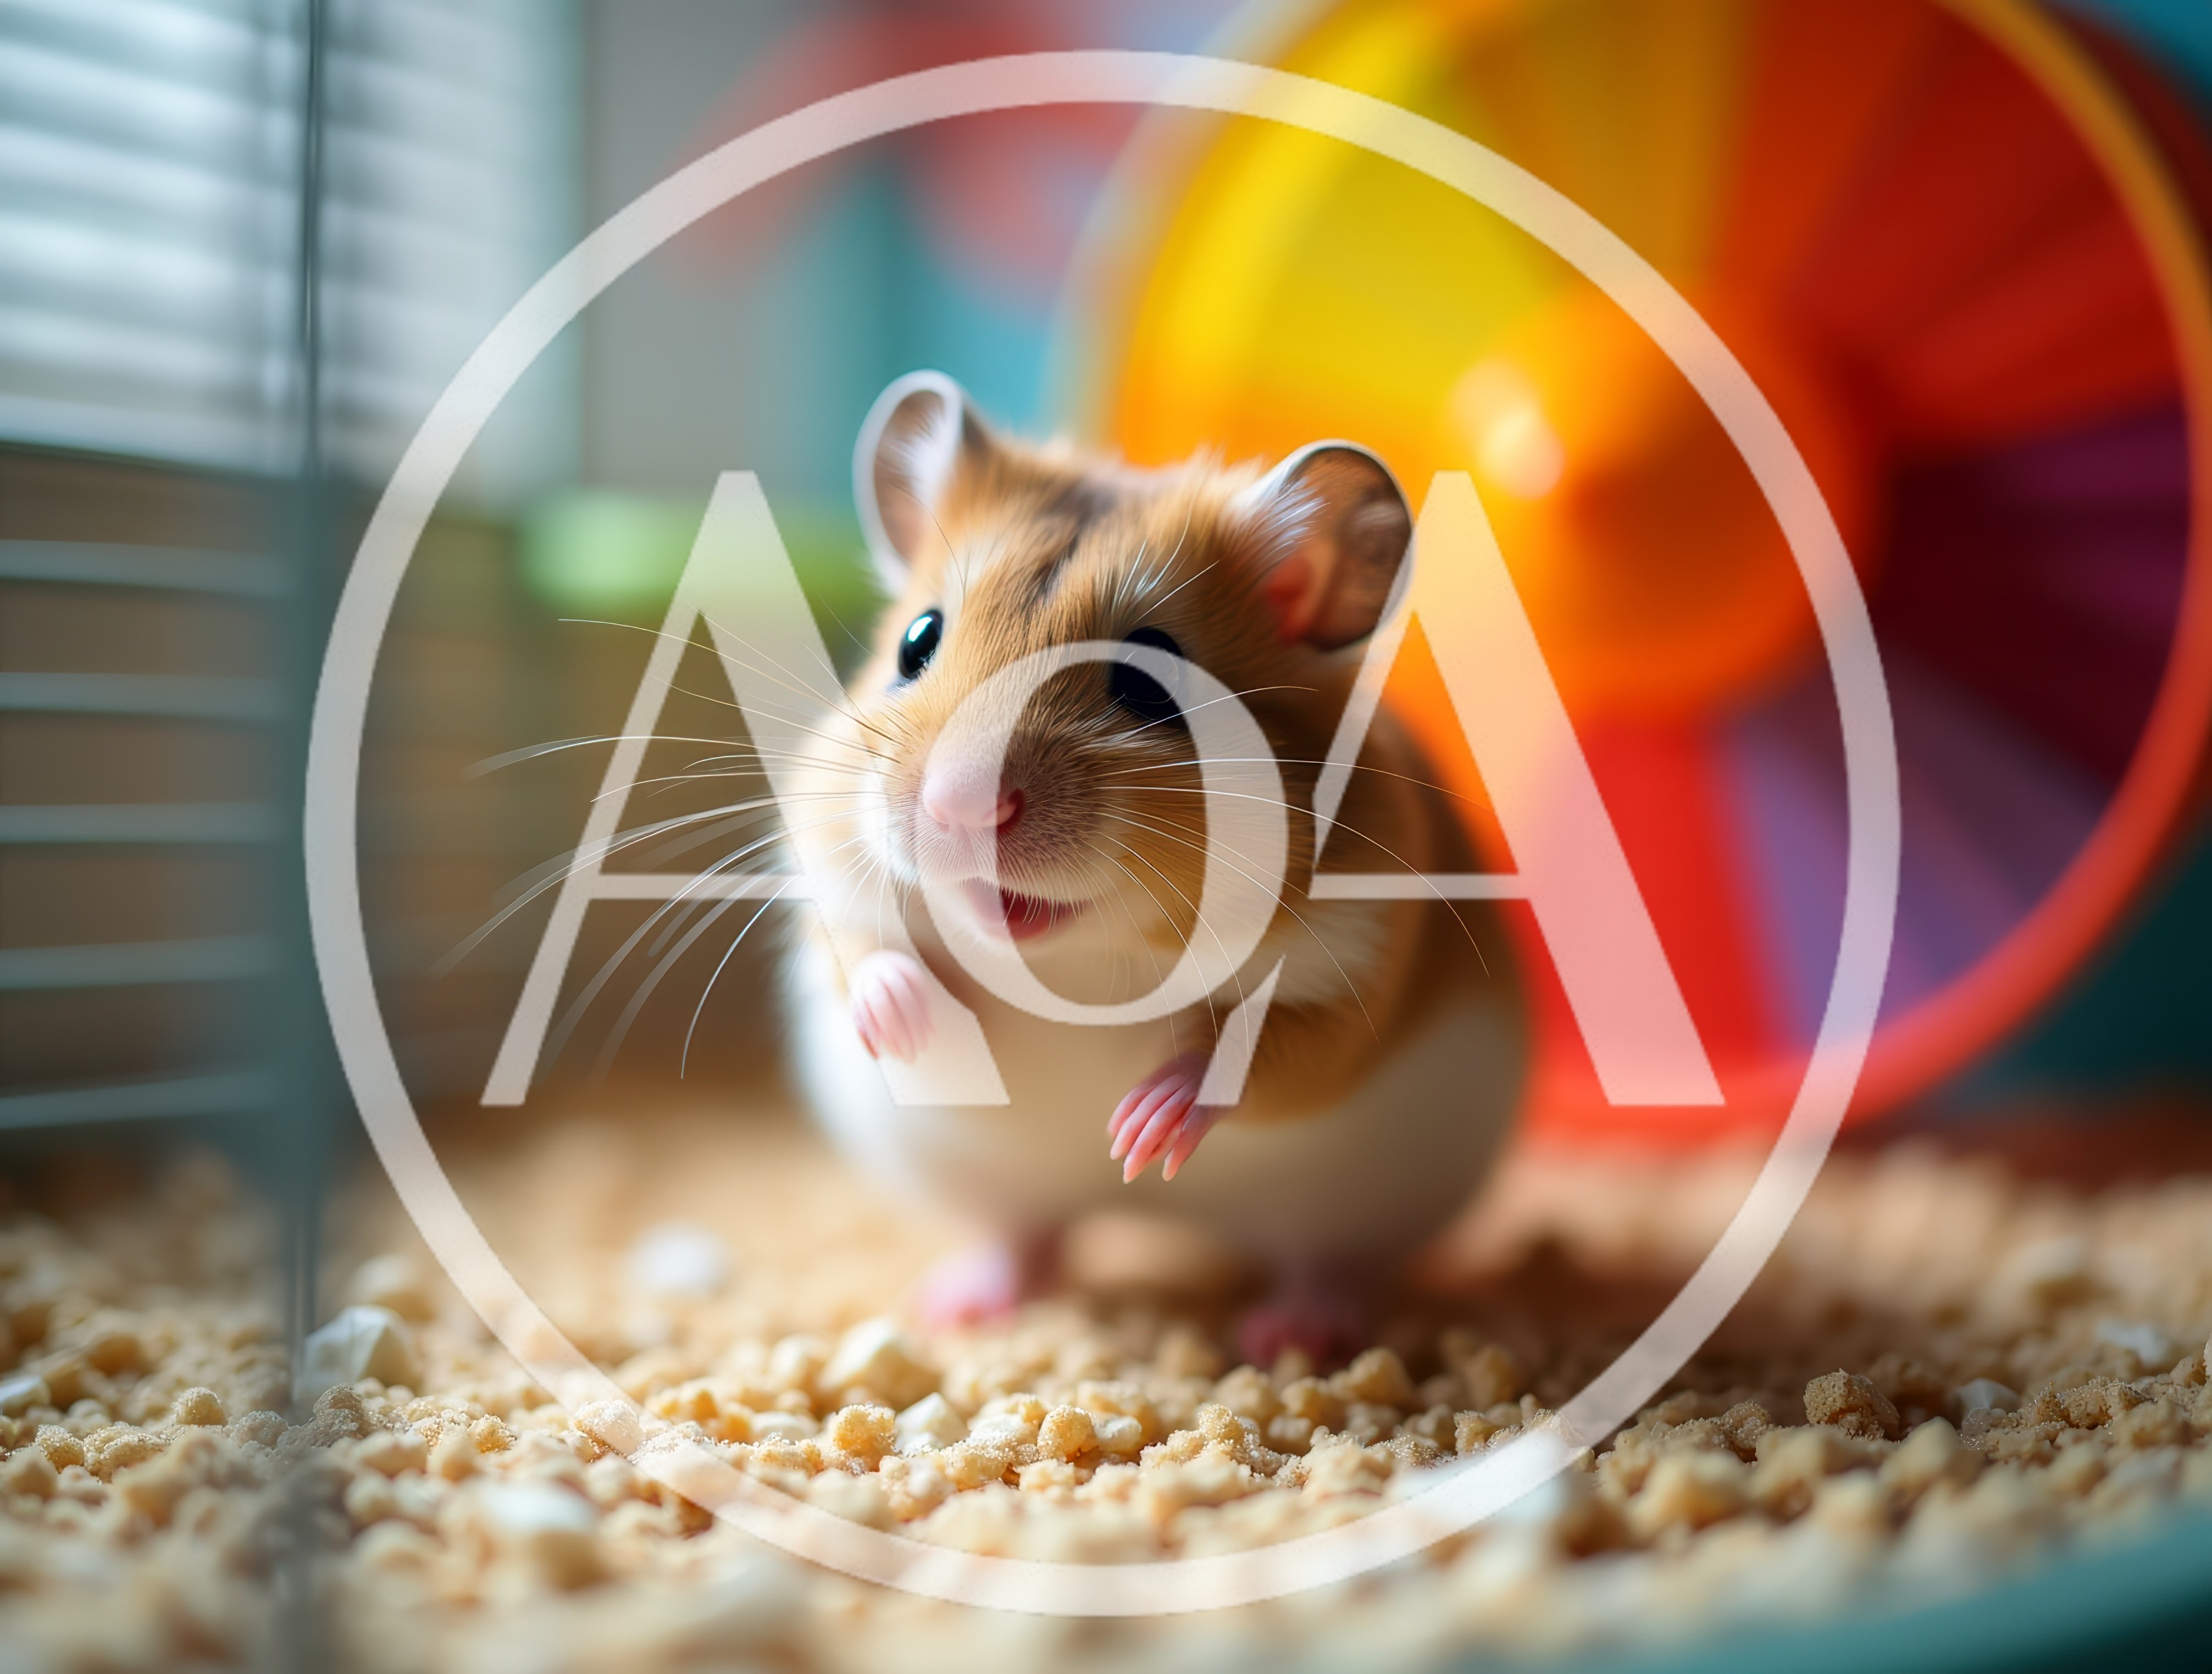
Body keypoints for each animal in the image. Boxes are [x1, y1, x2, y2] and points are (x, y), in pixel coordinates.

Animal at [784, 371, 1525, 1363]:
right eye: (916, 642)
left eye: (1148, 681)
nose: (956, 809)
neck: (1076, 957)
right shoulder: (826, 861)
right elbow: (860, 949)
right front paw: (909, 1023)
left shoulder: (1358, 970)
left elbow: (1264, 1048)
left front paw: (1141, 1129)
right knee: (1032, 1236)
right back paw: (959, 1304)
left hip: (1372, 1203)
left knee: (1331, 1263)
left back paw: (1289, 1331)